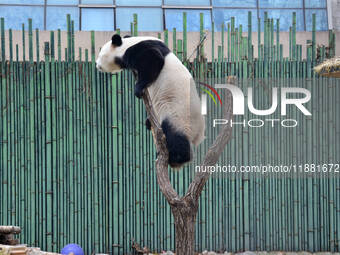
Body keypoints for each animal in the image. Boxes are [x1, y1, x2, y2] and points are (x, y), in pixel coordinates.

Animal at [97, 34, 206, 169]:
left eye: (100, 54)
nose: (96, 64)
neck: (127, 43)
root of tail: (198, 135)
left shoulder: (138, 50)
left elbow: (154, 60)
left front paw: (138, 88)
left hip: (179, 115)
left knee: (175, 135)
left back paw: (177, 158)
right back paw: (148, 123)